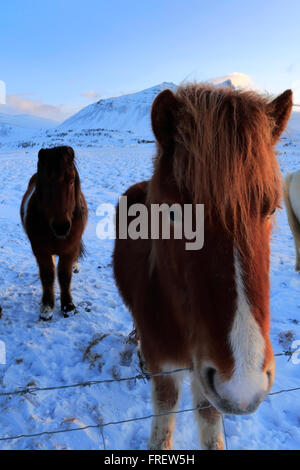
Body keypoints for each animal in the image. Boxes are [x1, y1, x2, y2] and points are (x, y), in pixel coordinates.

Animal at [20, 145, 86, 320]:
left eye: (71, 180)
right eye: (45, 182)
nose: (61, 227)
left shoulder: (69, 250)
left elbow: (64, 276)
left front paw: (68, 306)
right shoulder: (40, 251)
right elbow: (48, 275)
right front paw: (47, 306)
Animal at [113, 85, 292, 452]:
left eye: (270, 209)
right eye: (173, 214)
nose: (242, 386)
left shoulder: (205, 380)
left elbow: (211, 430)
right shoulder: (166, 373)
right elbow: (162, 430)